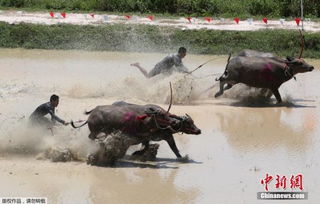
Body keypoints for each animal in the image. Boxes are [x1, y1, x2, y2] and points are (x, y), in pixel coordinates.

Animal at [71, 101, 200, 159]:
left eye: (192, 121)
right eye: (188, 122)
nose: (199, 130)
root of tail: (92, 113)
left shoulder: (162, 137)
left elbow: (175, 149)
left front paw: (182, 158)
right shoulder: (145, 137)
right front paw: (136, 153)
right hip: (95, 131)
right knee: (91, 137)